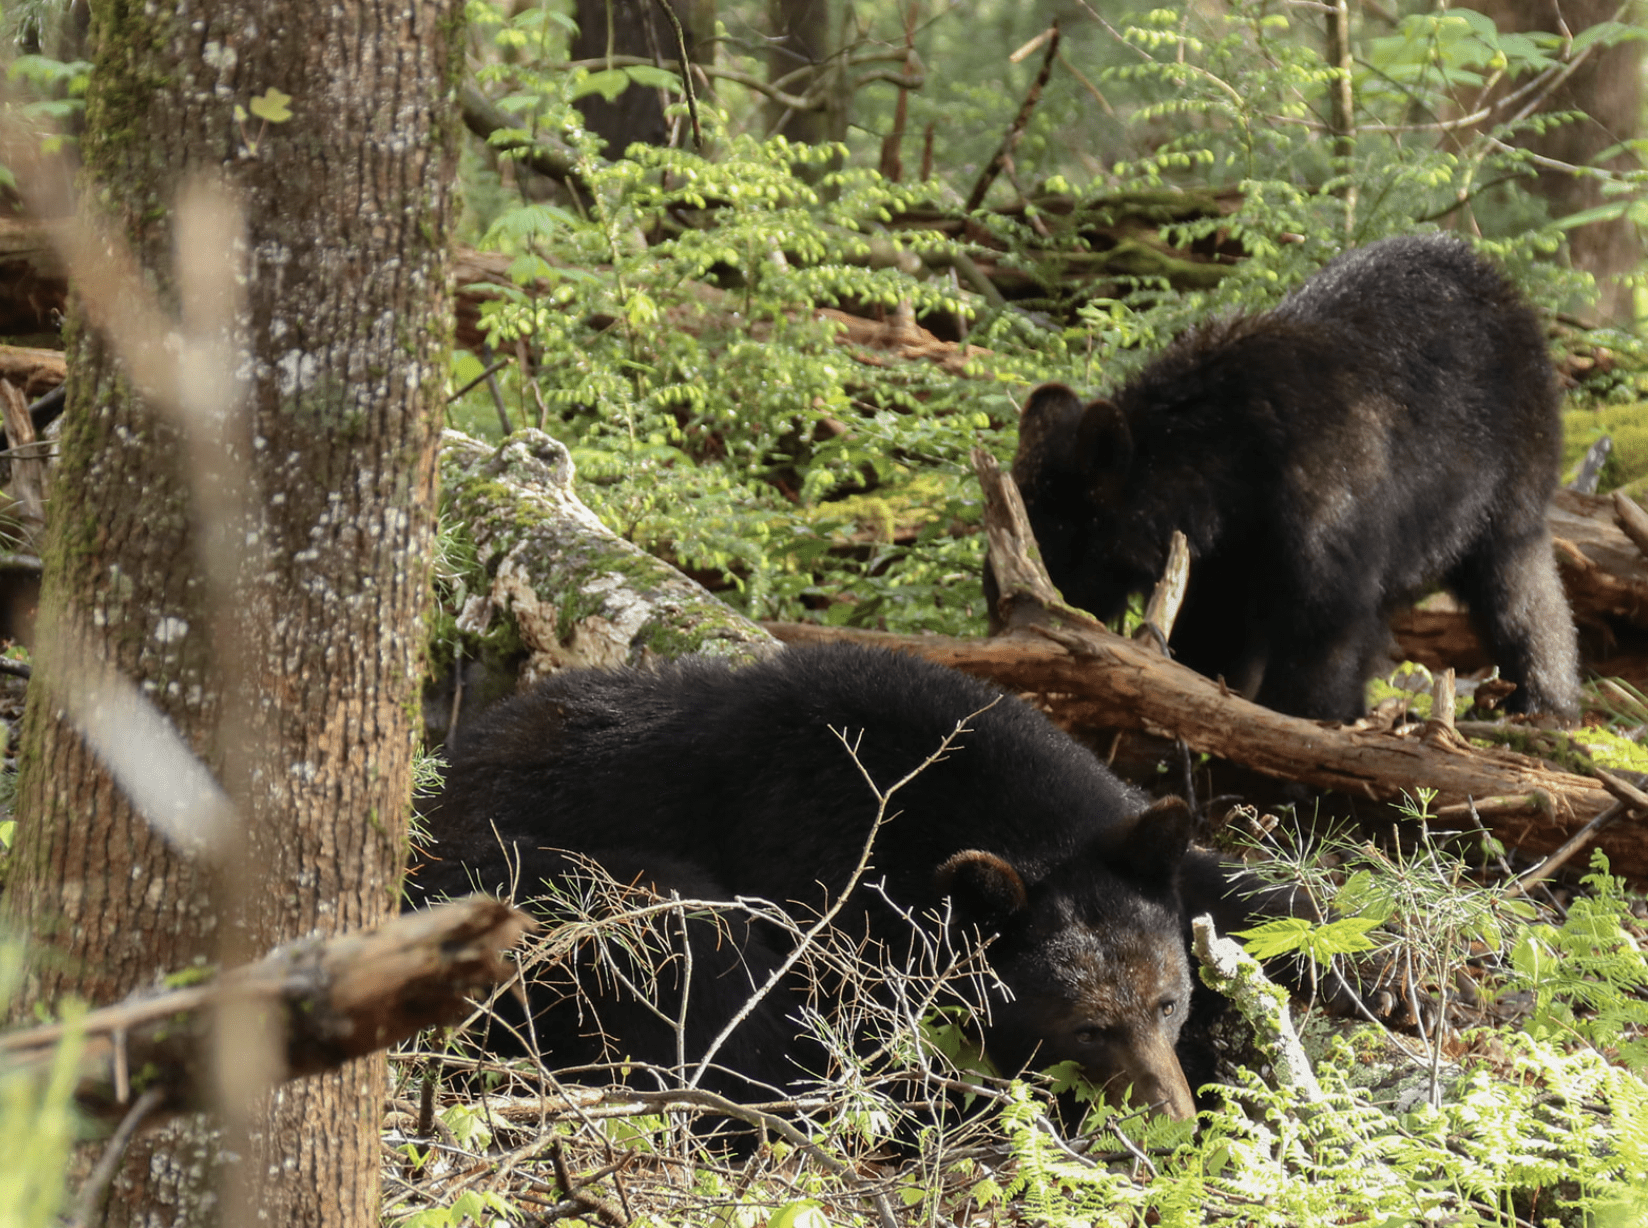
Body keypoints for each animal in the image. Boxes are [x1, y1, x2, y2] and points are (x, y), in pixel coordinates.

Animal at [1001, 234, 1582, 721]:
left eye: (1053, 552)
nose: (1002, 627)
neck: (1228, 469)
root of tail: (1509, 289)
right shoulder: (1221, 557)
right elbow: (1215, 627)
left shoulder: (1325, 504)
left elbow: (1324, 626)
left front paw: (1305, 723)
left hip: (1507, 485)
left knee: (1519, 590)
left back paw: (1545, 703)